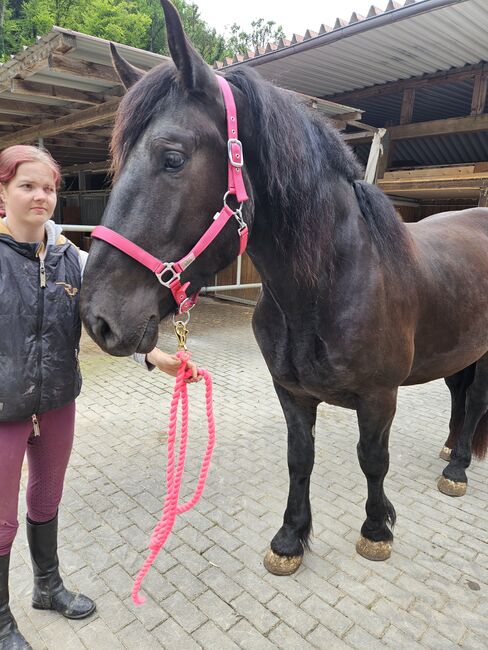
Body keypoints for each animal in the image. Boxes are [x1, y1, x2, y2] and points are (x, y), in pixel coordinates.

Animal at [80, 2, 488, 576]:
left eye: (172, 157)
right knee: (459, 393)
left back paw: (458, 469)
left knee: (475, 400)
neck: (331, 285)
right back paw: (453, 452)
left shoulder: (380, 397)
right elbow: (300, 459)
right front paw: (291, 537)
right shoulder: (291, 392)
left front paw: (376, 528)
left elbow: (373, 459)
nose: (98, 318)